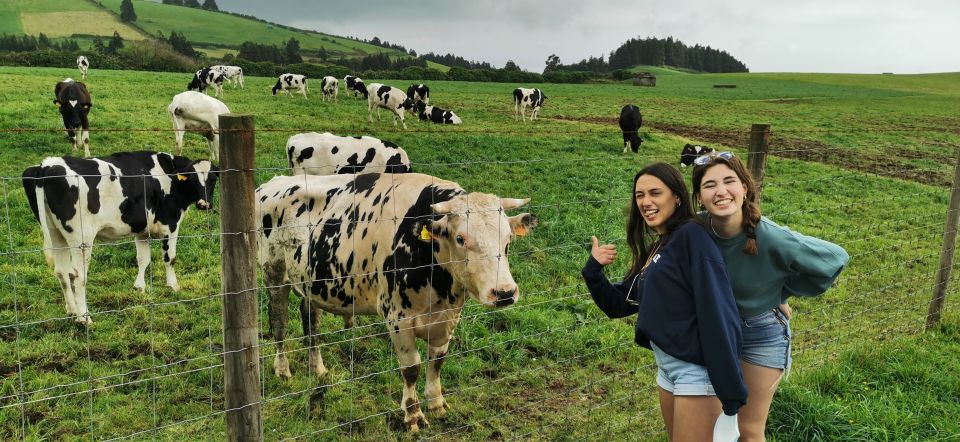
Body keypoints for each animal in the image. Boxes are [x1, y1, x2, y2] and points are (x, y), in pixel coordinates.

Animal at [21, 152, 218, 324]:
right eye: (193, 179)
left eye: (213, 179)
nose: (204, 204)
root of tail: (47, 165)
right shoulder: (171, 224)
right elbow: (170, 258)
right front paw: (173, 286)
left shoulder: (141, 229)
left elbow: (143, 259)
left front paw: (139, 287)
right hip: (81, 239)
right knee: (77, 275)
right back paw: (84, 318)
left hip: (56, 233)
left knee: (61, 271)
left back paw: (71, 311)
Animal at [255, 173, 540, 432]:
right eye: (460, 238)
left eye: (508, 240)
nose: (504, 292)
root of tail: (273, 182)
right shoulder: (397, 317)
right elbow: (412, 367)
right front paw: (413, 416)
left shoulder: (448, 316)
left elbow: (437, 361)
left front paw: (436, 404)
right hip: (274, 274)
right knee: (279, 321)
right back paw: (282, 370)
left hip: (311, 282)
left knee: (310, 321)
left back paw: (318, 369)